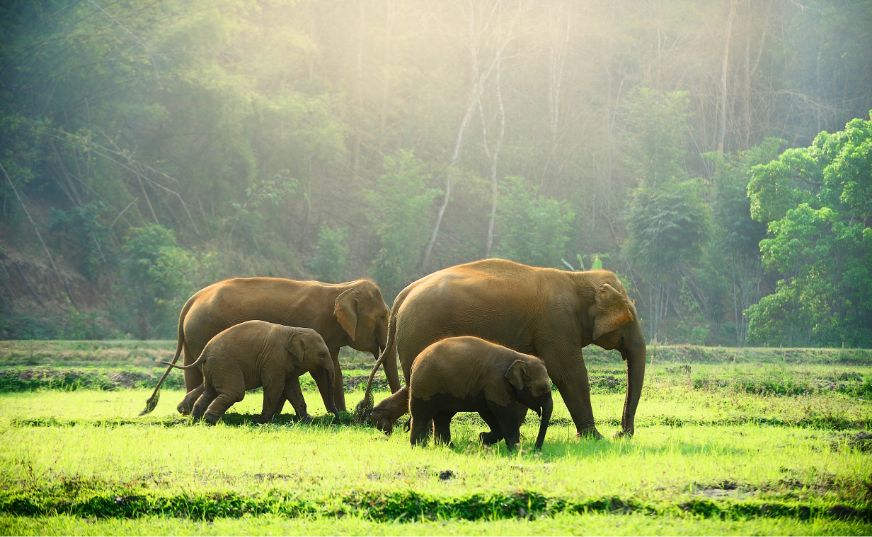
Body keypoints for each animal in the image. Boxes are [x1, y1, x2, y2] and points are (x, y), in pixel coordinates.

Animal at [166, 320, 338, 426]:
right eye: (322, 354)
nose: (336, 417)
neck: (294, 330)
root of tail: (205, 351)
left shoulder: (284, 363)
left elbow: (292, 388)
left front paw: (308, 420)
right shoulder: (274, 359)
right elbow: (274, 386)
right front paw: (263, 421)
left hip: (212, 368)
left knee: (210, 392)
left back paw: (196, 421)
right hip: (225, 365)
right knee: (235, 392)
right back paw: (209, 421)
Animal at [356, 258, 648, 438]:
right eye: (628, 320)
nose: (622, 433)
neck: (578, 278)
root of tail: (403, 295)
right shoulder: (556, 324)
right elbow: (569, 374)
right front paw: (594, 438)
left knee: (412, 383)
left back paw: (380, 423)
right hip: (421, 330)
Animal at [408, 338, 552, 450]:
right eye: (543, 388)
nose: (536, 449)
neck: (519, 357)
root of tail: (416, 359)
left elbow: (488, 412)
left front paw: (482, 438)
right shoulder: (496, 383)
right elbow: (505, 412)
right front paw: (514, 449)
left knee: (442, 417)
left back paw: (448, 447)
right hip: (424, 385)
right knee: (421, 415)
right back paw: (419, 447)